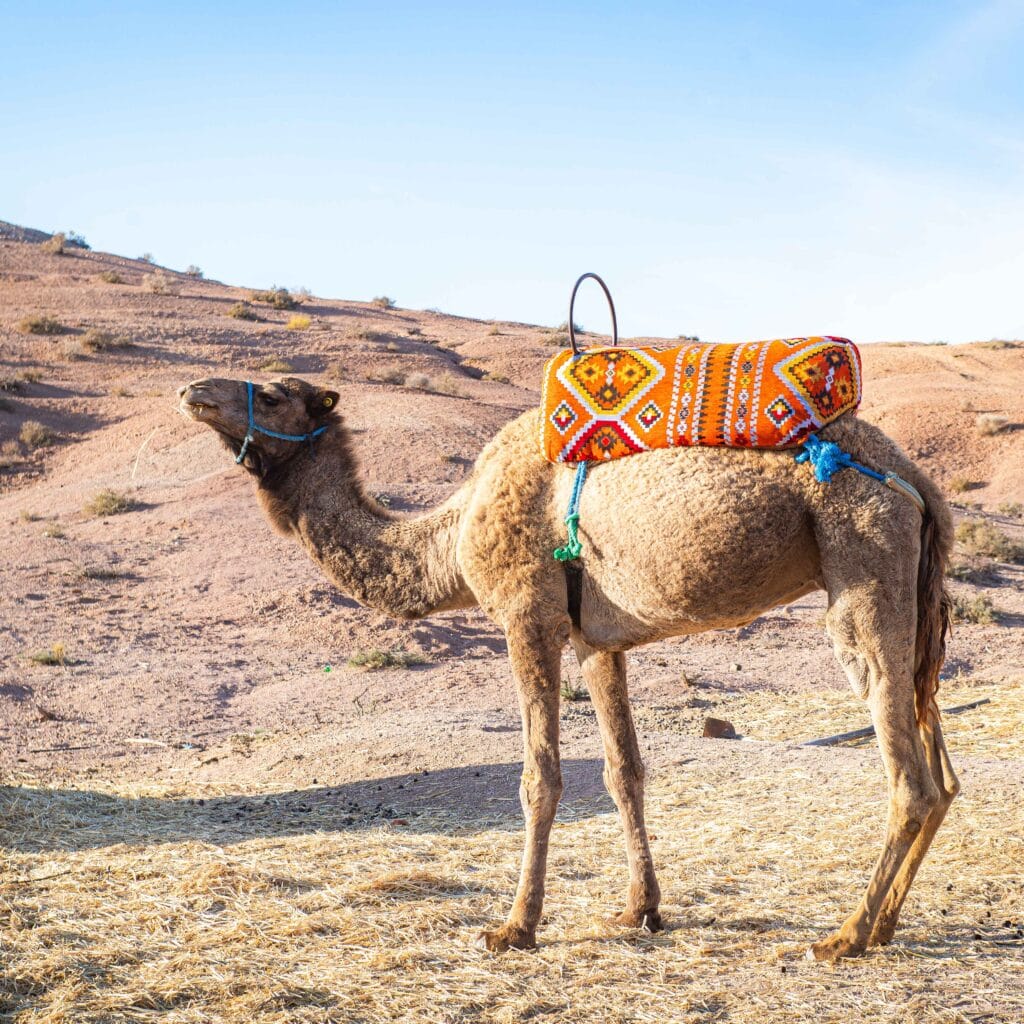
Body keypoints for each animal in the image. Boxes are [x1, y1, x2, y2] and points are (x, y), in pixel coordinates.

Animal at [177, 373, 959, 962]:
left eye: (273, 392)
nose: (192, 391)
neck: (452, 534)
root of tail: (919, 482)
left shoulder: (528, 617)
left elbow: (541, 779)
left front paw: (514, 927)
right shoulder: (597, 641)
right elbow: (623, 773)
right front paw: (639, 910)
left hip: (862, 561)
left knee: (909, 776)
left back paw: (846, 935)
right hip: (911, 593)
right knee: (942, 770)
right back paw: (885, 924)